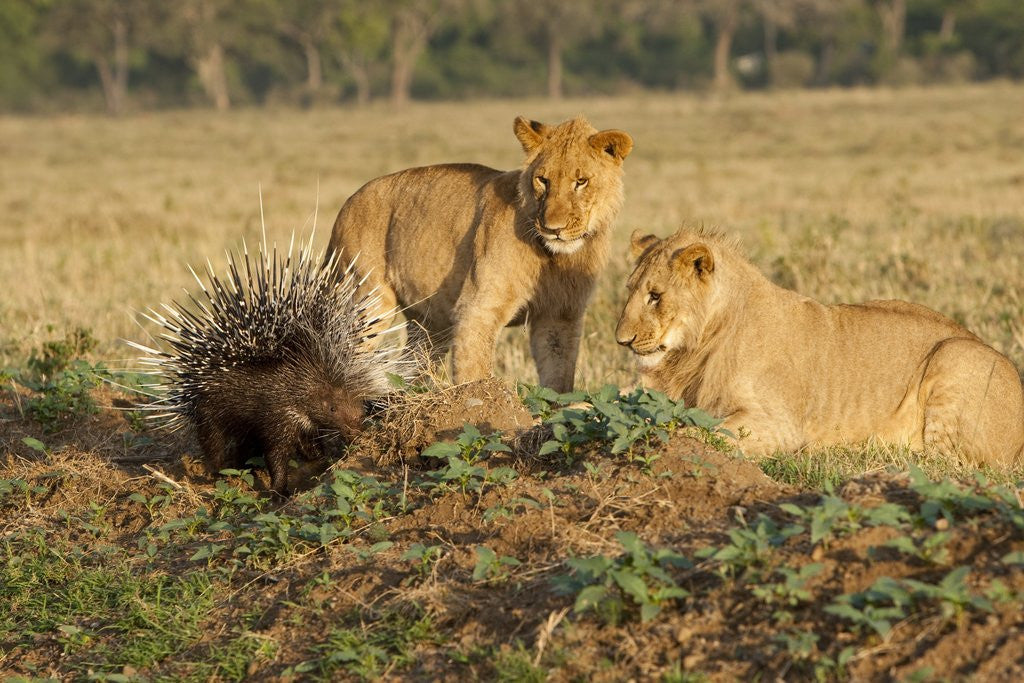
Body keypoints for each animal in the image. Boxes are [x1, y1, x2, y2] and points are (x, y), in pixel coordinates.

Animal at [327, 116, 633, 392]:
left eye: (581, 181)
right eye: (543, 180)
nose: (552, 228)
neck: (555, 257)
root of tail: (348, 202)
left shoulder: (560, 315)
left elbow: (558, 379)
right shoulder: (477, 310)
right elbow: (476, 374)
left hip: (431, 324)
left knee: (409, 366)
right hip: (367, 300)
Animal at [615, 227, 1024, 467]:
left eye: (655, 296)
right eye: (629, 290)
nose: (623, 340)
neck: (694, 349)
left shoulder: (777, 424)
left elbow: (698, 434)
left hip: (954, 354)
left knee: (942, 463)